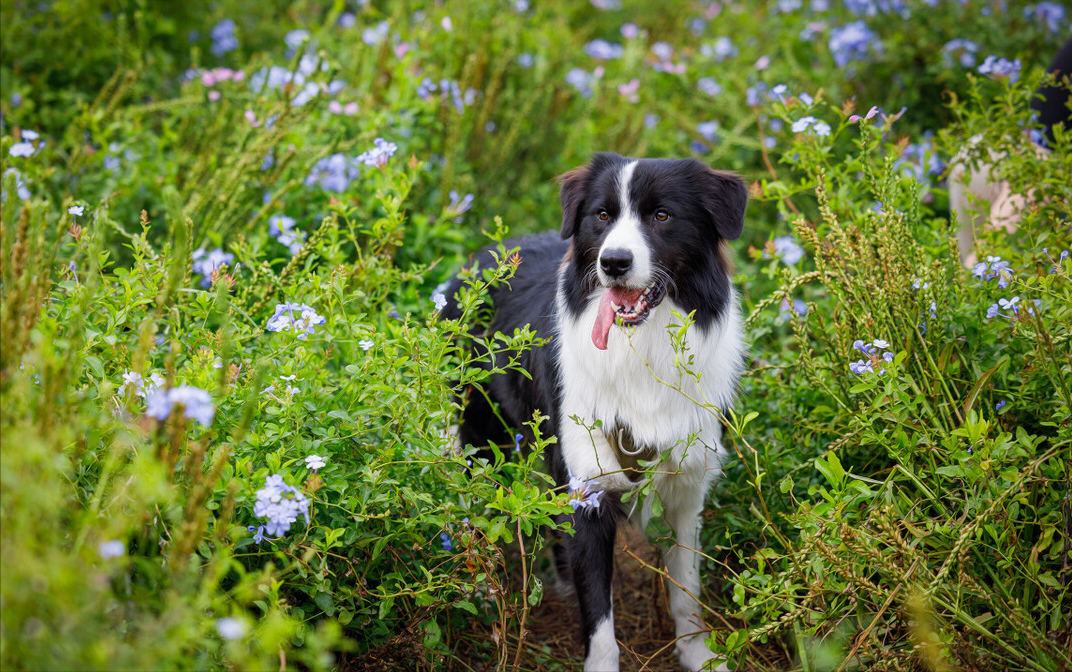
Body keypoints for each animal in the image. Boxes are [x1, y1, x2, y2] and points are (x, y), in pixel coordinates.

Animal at [441, 154, 746, 672]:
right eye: (602, 216)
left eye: (662, 215)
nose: (613, 262)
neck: (639, 348)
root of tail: (472, 263)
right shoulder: (588, 486)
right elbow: (600, 617)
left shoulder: (686, 488)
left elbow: (686, 588)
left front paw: (698, 653)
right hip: (480, 433)